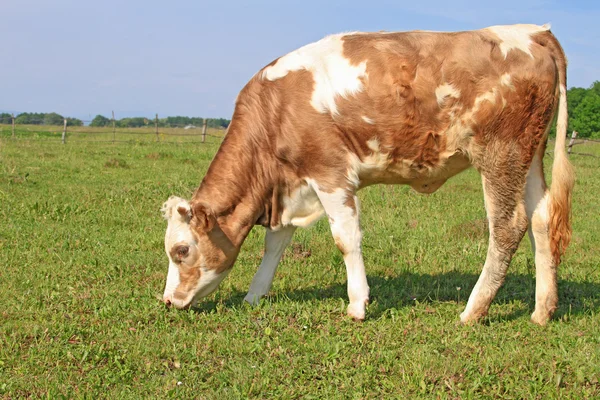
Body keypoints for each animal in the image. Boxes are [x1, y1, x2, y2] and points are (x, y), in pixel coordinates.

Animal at [162, 23, 576, 324]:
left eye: (181, 250)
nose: (166, 300)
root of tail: (533, 31)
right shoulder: (292, 185)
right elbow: (275, 243)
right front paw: (254, 295)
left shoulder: (329, 173)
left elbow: (345, 240)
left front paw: (357, 305)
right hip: (529, 155)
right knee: (540, 220)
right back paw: (542, 310)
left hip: (501, 153)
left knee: (507, 226)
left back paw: (473, 311)